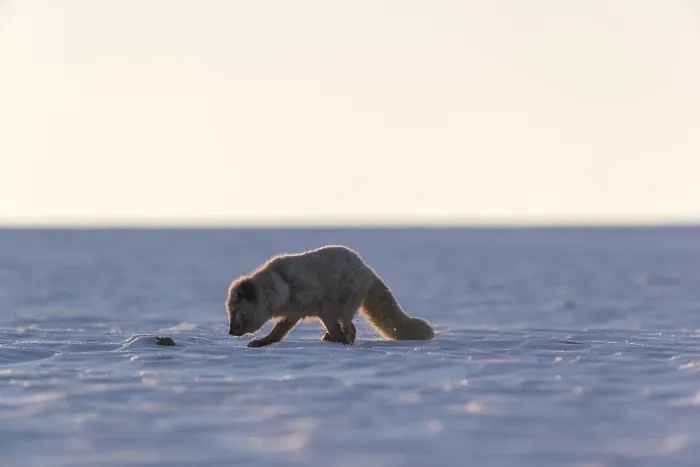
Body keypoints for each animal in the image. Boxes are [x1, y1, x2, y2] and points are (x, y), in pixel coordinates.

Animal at [225, 244, 435, 347]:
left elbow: (335, 329)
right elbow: (277, 333)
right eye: (230, 312)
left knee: (349, 324)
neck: (282, 287)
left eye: (236, 311)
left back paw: (343, 338)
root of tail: (367, 268)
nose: (230, 331)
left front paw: (342, 342)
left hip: (348, 301)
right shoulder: (294, 313)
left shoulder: (322, 308)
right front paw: (261, 342)